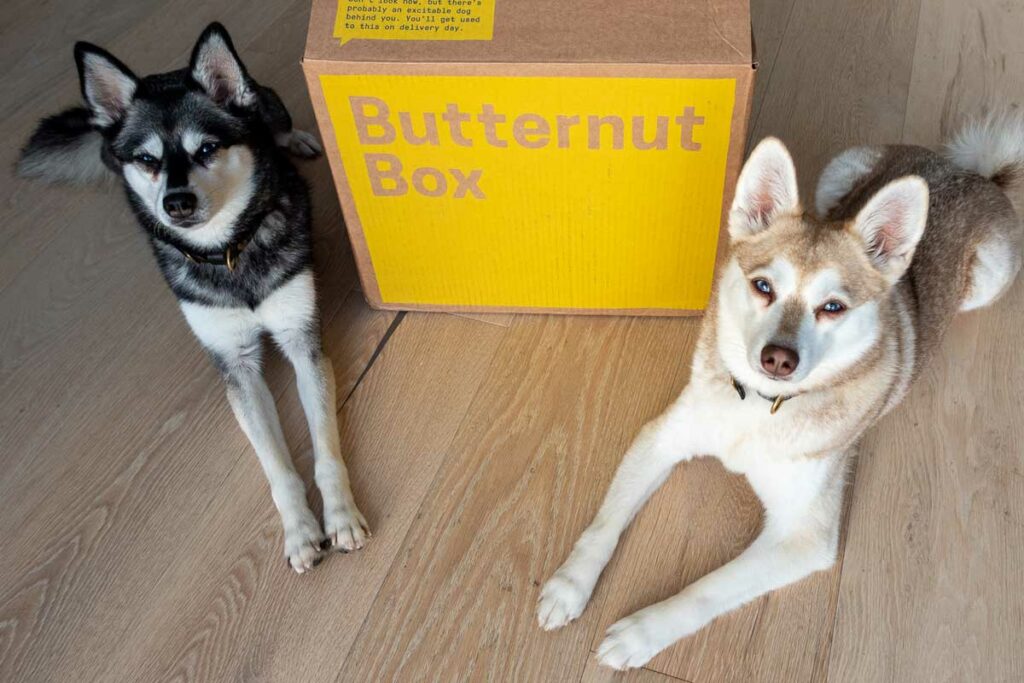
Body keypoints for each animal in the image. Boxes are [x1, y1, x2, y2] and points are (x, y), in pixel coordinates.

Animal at [19, 22, 370, 573]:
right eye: (147, 160)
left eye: (207, 149)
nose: (176, 202)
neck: (227, 251)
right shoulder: (237, 365)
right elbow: (277, 467)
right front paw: (298, 530)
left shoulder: (301, 340)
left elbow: (326, 449)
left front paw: (340, 515)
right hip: (109, 150)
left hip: (264, 101)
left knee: (273, 124)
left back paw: (294, 138)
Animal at [540, 116, 1019, 667]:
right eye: (763, 286)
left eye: (833, 307)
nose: (778, 358)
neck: (757, 409)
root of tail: (972, 172)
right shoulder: (663, 437)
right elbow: (604, 524)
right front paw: (570, 585)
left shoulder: (802, 537)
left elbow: (706, 588)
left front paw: (642, 632)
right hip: (839, 170)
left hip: (991, 276)